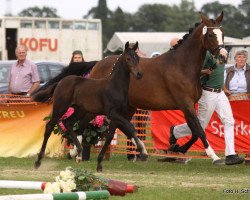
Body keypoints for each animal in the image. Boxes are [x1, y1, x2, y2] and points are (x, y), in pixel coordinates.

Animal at [33, 41, 146, 170]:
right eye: (128, 58)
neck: (114, 86)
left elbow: (111, 136)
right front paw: (142, 151)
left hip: (80, 110)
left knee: (68, 123)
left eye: (138, 58)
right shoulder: (112, 112)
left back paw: (79, 151)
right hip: (60, 107)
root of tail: (60, 82)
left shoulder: (117, 115)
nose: (139, 74)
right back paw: (38, 161)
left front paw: (99, 163)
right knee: (50, 126)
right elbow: (130, 127)